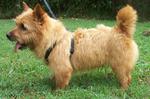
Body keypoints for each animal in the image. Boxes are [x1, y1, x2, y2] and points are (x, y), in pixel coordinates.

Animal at [6, 2, 138, 89]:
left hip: (119, 65)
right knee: (129, 76)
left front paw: (56, 91)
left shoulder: (63, 68)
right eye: (16, 23)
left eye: (23, 27)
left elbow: (60, 83)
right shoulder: (58, 67)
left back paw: (122, 89)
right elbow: (56, 76)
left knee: (125, 78)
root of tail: (121, 31)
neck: (53, 40)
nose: (7, 35)